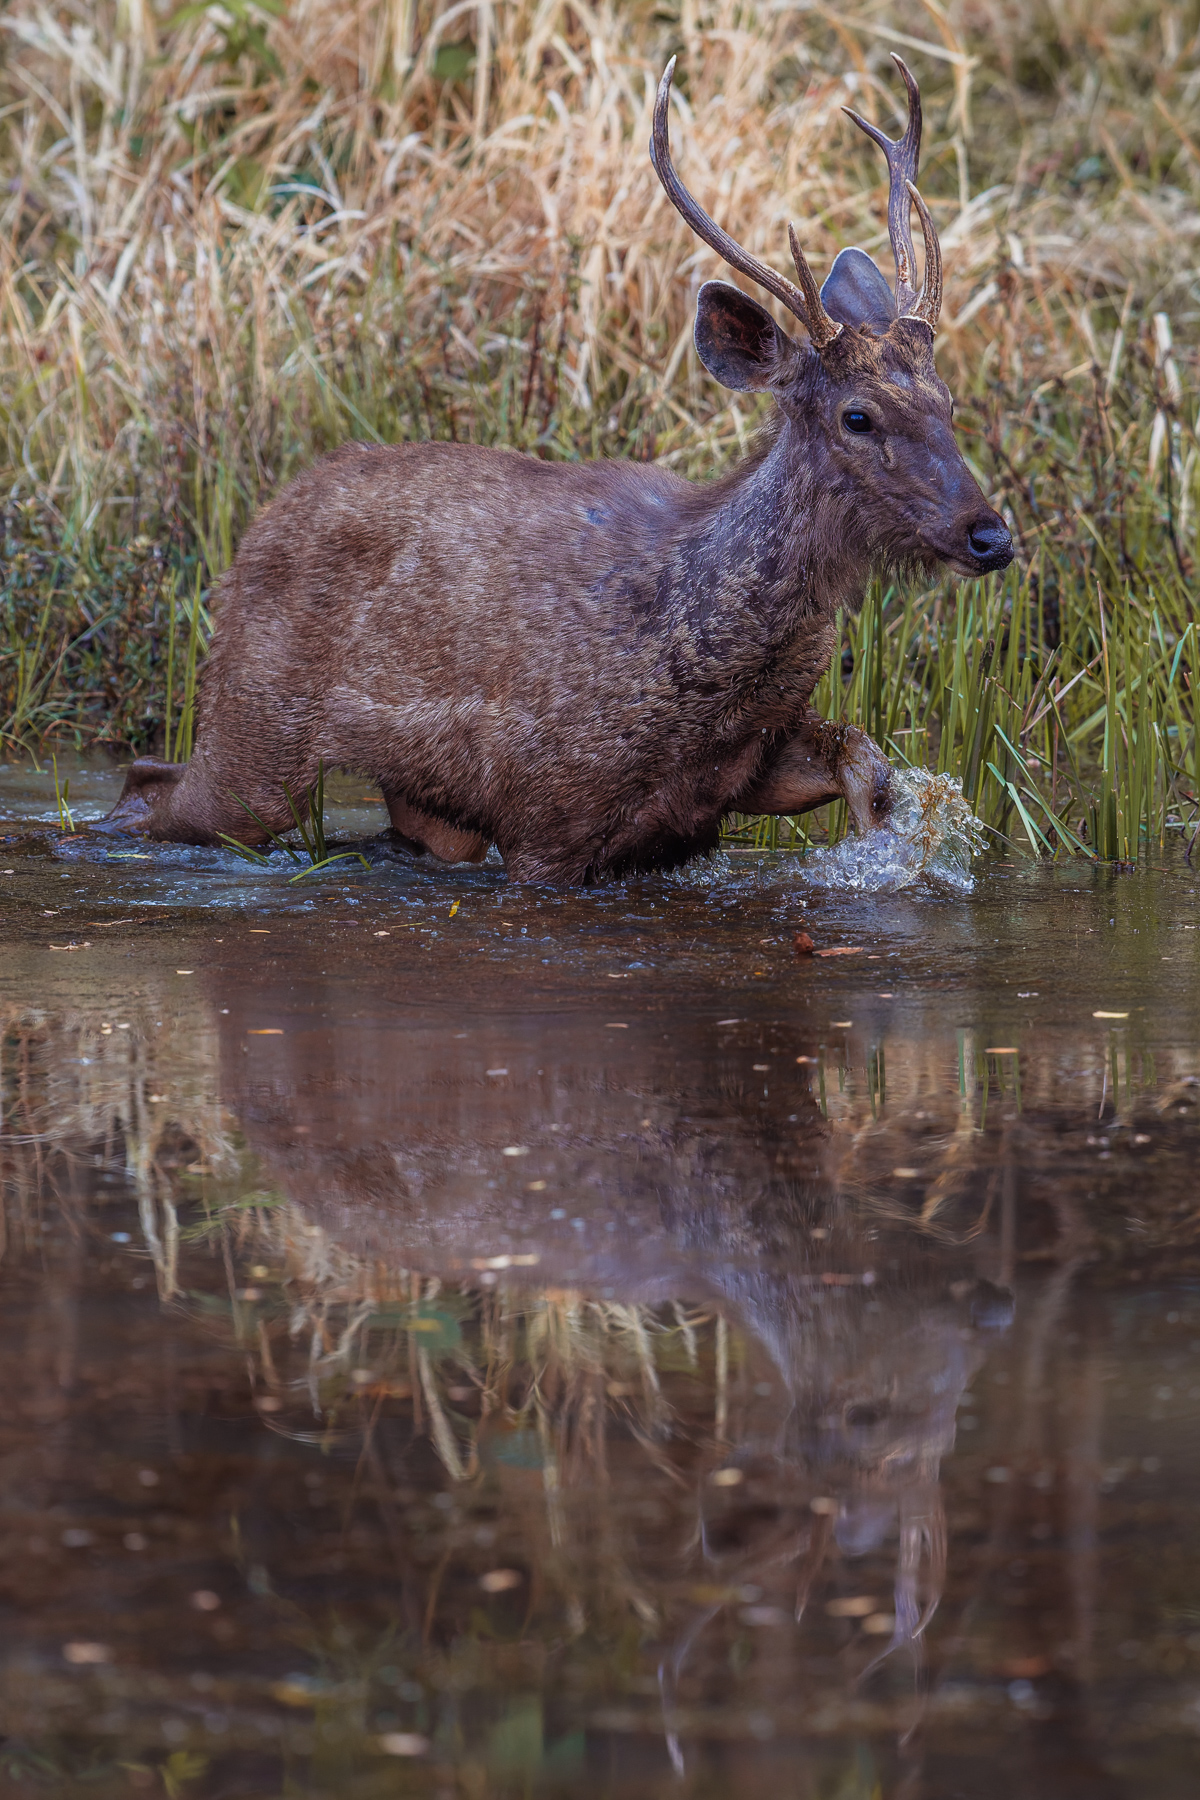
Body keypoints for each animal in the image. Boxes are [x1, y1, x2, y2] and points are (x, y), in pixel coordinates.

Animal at [104, 55, 1013, 884]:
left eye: (950, 401)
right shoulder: (548, 811)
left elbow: (864, 758)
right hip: (257, 727)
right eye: (858, 416)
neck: (703, 667)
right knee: (148, 783)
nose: (990, 536)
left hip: (406, 797)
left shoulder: (730, 774)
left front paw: (892, 846)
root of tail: (250, 539)